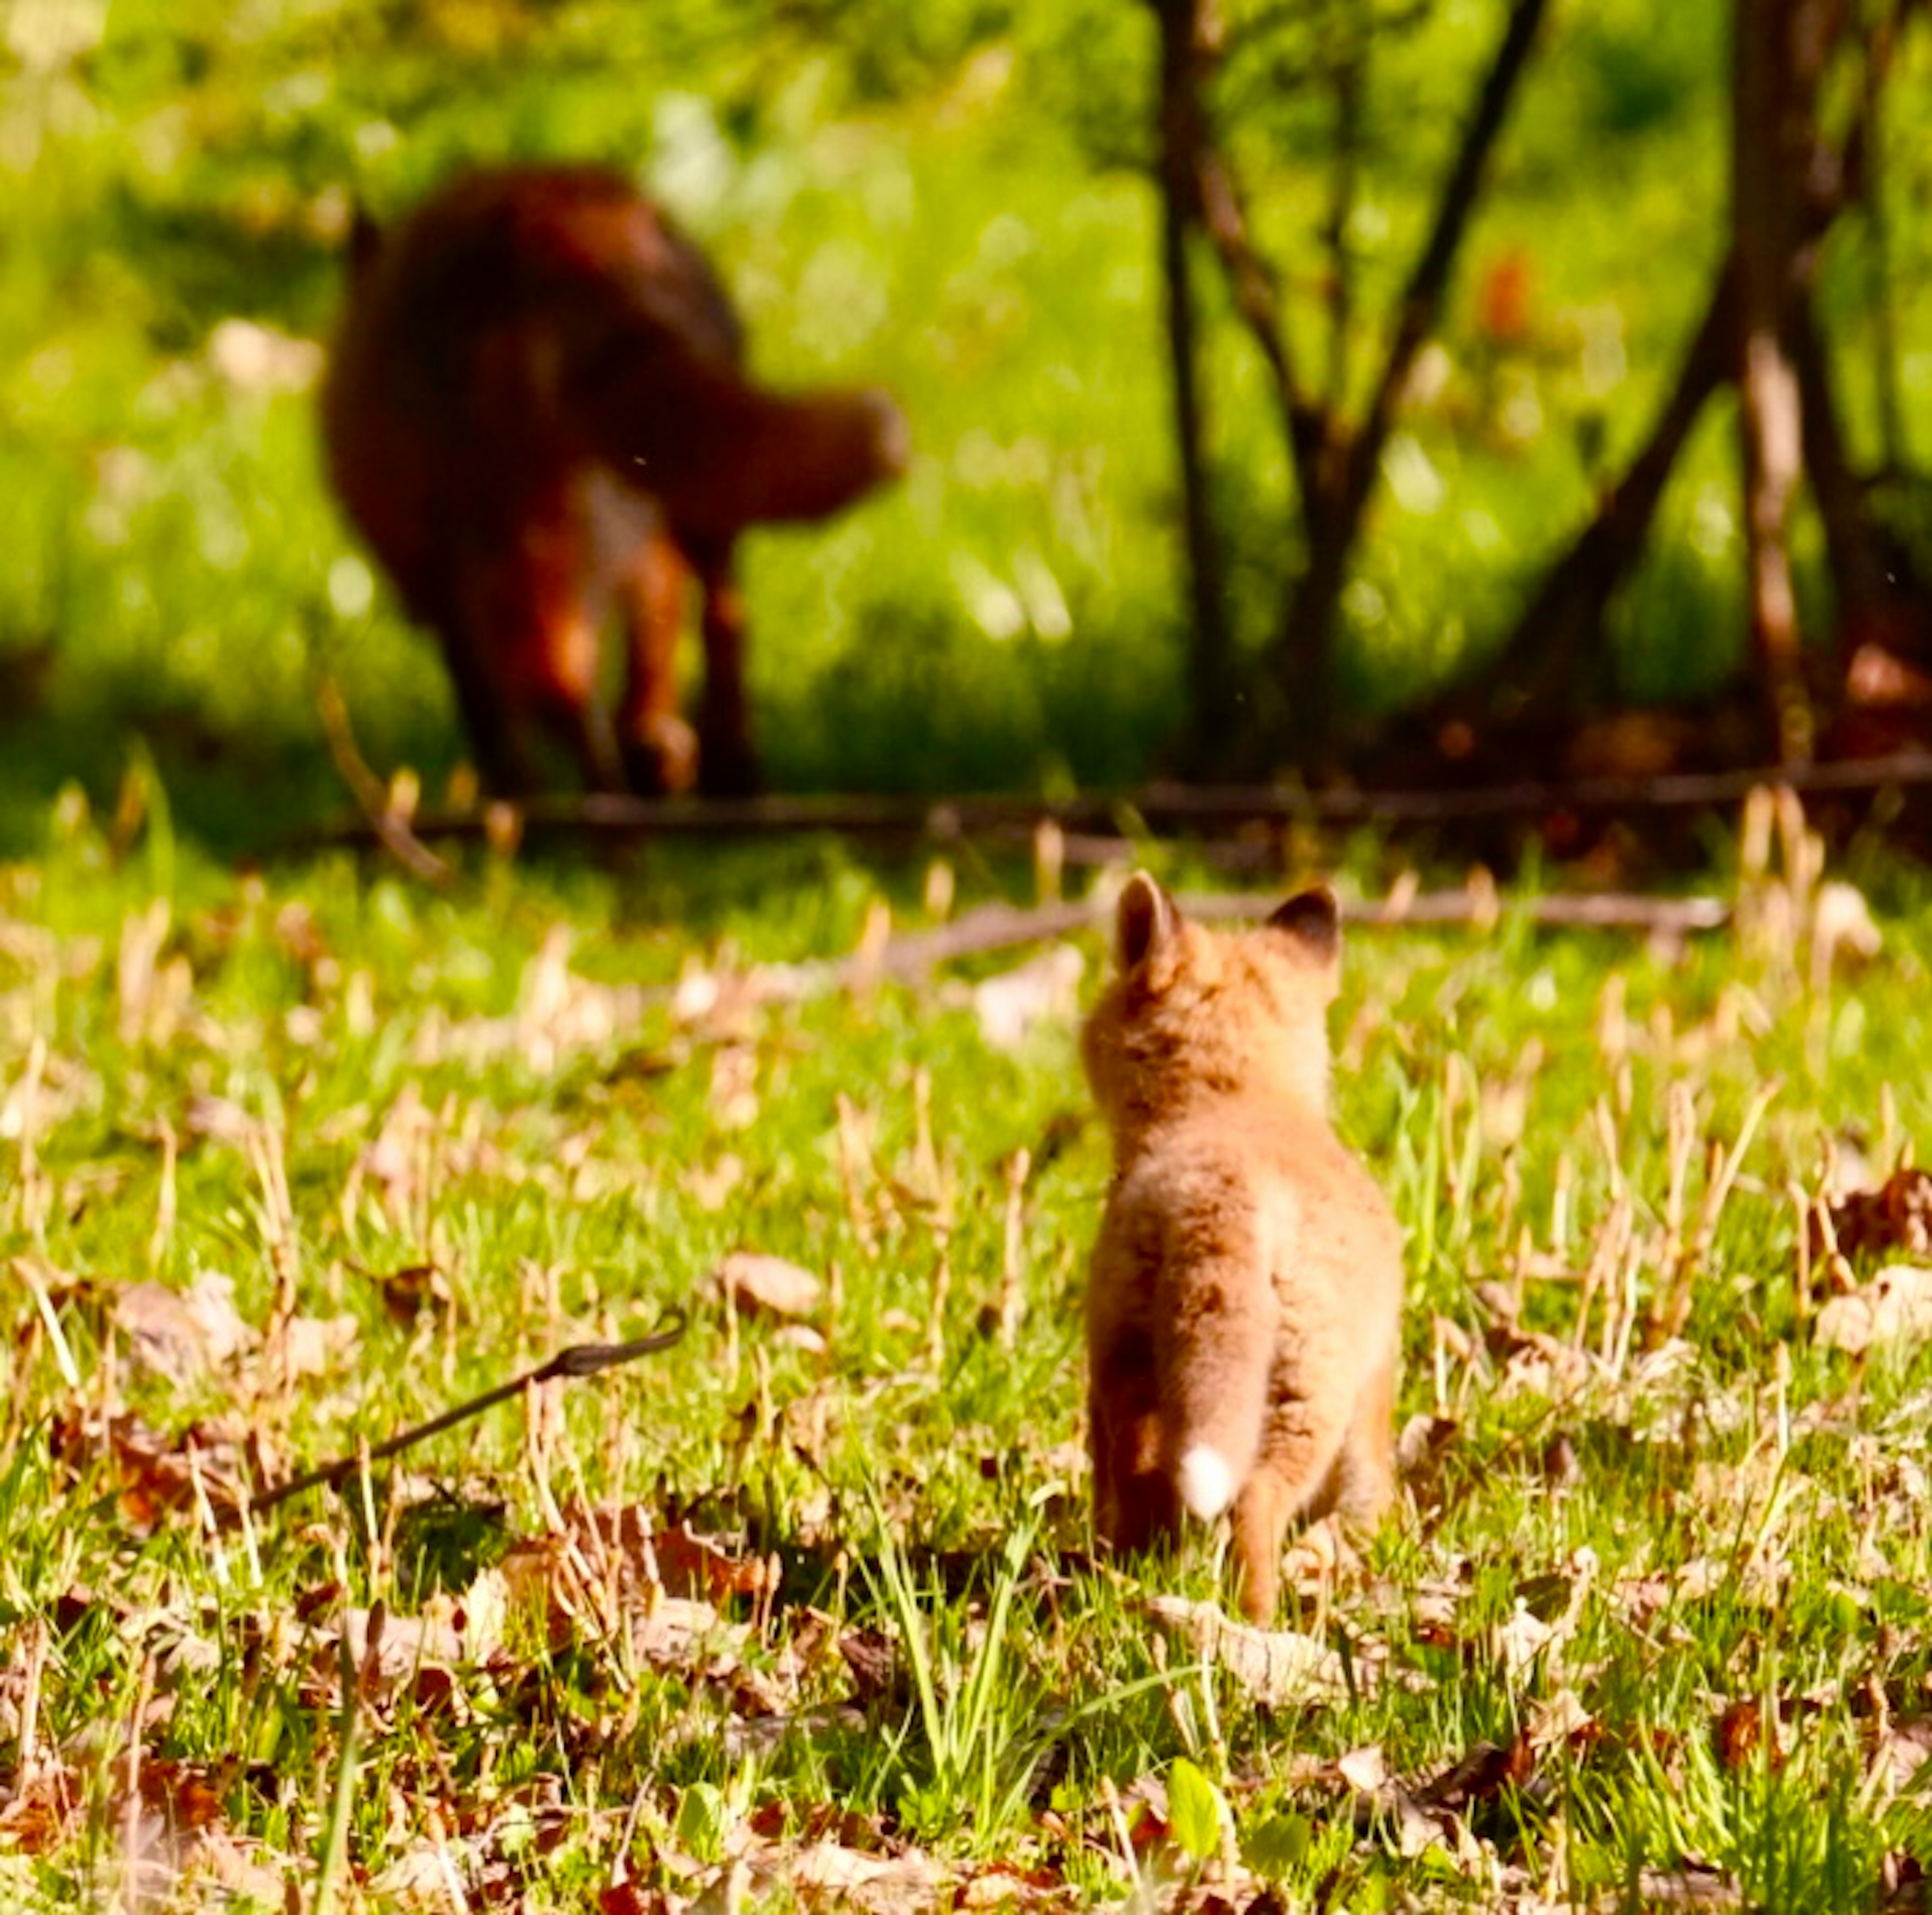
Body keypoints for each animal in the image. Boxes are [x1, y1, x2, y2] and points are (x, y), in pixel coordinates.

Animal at [323, 161, 904, 792]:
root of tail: (555, 242)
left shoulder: (445, 590)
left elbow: (492, 718)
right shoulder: (648, 550)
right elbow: (656, 653)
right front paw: (657, 747)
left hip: (524, 552)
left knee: (561, 690)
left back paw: (589, 807)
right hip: (692, 510)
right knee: (725, 621)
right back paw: (724, 776)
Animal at [1074, 881, 1406, 1615]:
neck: (1238, 1099)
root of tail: (1228, 1190)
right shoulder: (1373, 1379)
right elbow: (1369, 1492)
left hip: (1129, 1359)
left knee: (1135, 1477)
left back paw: (1124, 1583)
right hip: (1305, 1394)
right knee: (1255, 1502)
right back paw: (1261, 1621)